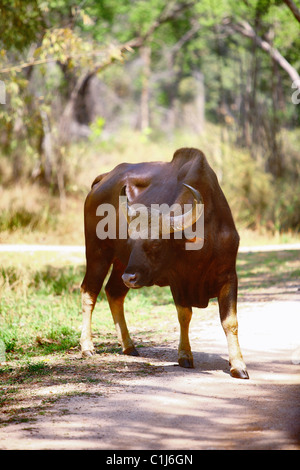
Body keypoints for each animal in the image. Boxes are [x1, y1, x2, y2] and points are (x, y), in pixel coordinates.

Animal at [79, 147, 248, 378]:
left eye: (157, 243)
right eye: (131, 240)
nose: (129, 278)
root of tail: (102, 180)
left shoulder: (229, 275)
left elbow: (230, 322)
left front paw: (238, 365)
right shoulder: (178, 280)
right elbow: (184, 315)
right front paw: (185, 355)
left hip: (121, 264)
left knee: (113, 292)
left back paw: (129, 345)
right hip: (98, 253)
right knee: (89, 292)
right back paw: (87, 347)